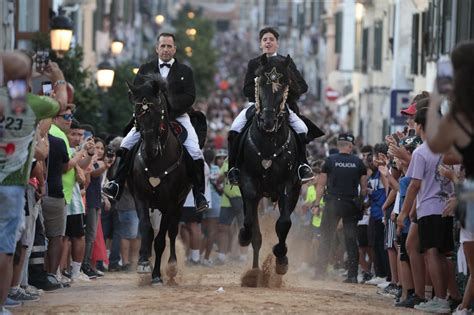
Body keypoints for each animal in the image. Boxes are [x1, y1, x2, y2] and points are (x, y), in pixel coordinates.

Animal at [128, 74, 193, 286]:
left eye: (158, 112)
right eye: (137, 113)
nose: (150, 149)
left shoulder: (170, 203)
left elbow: (161, 240)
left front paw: (156, 274)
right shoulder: (140, 197)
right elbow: (146, 229)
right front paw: (143, 263)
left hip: (179, 203)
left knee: (172, 232)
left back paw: (171, 266)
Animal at [239, 55, 302, 276]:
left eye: (284, 85)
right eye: (261, 83)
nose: (267, 121)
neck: (268, 141)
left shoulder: (288, 186)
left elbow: (284, 223)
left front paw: (281, 258)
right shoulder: (248, 182)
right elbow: (250, 222)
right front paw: (244, 235)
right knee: (254, 231)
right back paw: (255, 270)